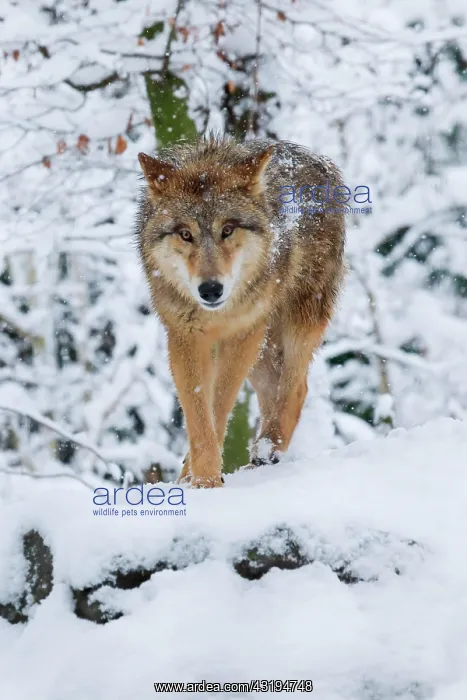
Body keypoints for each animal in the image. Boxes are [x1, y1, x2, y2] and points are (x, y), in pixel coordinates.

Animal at [135, 137, 345, 487]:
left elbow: (219, 407)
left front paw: (205, 482)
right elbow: (199, 414)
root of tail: (323, 161)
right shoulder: (185, 338)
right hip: (262, 348)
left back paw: (268, 448)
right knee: (274, 390)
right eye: (185, 234)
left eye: (228, 229)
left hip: (296, 319)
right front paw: (196, 480)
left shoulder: (241, 335)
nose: (210, 290)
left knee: (296, 387)